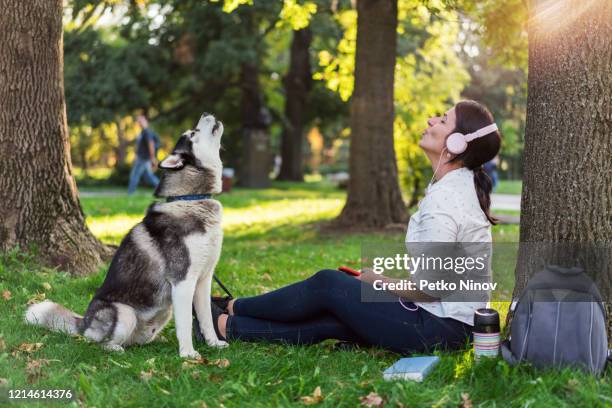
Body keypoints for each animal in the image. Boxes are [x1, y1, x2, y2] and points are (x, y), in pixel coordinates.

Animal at [25, 113, 228, 358]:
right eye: (193, 133)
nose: (207, 114)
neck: (191, 198)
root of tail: (84, 322)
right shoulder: (182, 281)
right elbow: (186, 323)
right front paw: (188, 354)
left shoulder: (204, 280)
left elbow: (206, 318)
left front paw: (214, 343)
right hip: (124, 313)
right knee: (101, 343)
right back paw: (115, 349)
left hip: (161, 314)